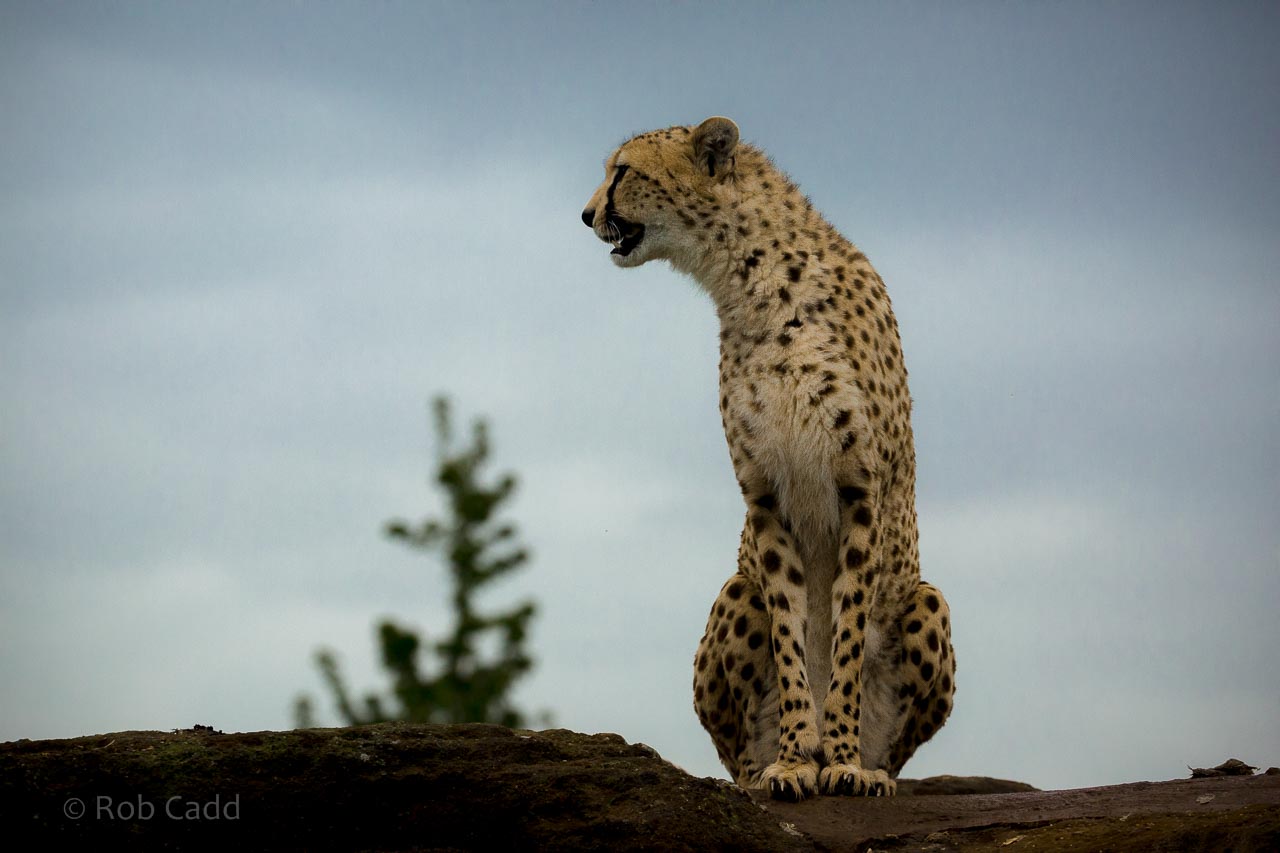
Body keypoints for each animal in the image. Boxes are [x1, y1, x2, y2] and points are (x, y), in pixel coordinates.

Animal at [581, 117, 954, 801]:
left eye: (623, 171)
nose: (588, 213)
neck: (756, 284)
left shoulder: (861, 491)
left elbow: (847, 632)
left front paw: (840, 759)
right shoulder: (765, 495)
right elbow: (789, 630)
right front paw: (795, 757)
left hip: (927, 600)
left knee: (896, 747)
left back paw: (871, 767)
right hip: (735, 588)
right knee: (733, 749)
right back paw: (758, 770)